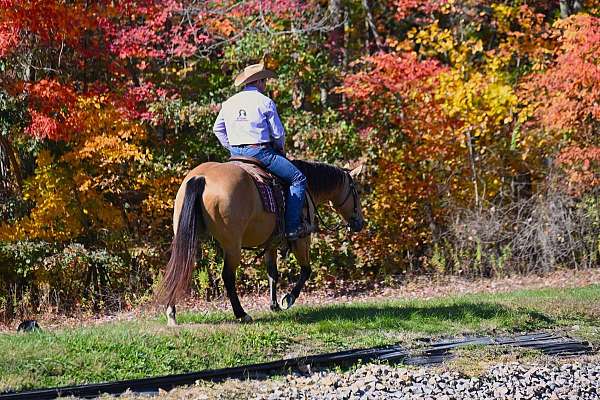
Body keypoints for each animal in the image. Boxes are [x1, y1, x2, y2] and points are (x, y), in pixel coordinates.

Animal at [157, 158, 364, 324]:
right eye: (356, 192)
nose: (359, 223)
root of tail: (201, 178)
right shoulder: (302, 239)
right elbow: (306, 270)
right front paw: (288, 298)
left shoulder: (271, 242)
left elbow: (272, 273)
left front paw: (274, 305)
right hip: (232, 246)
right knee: (227, 276)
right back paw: (241, 314)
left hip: (188, 238)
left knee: (179, 268)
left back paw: (171, 313)